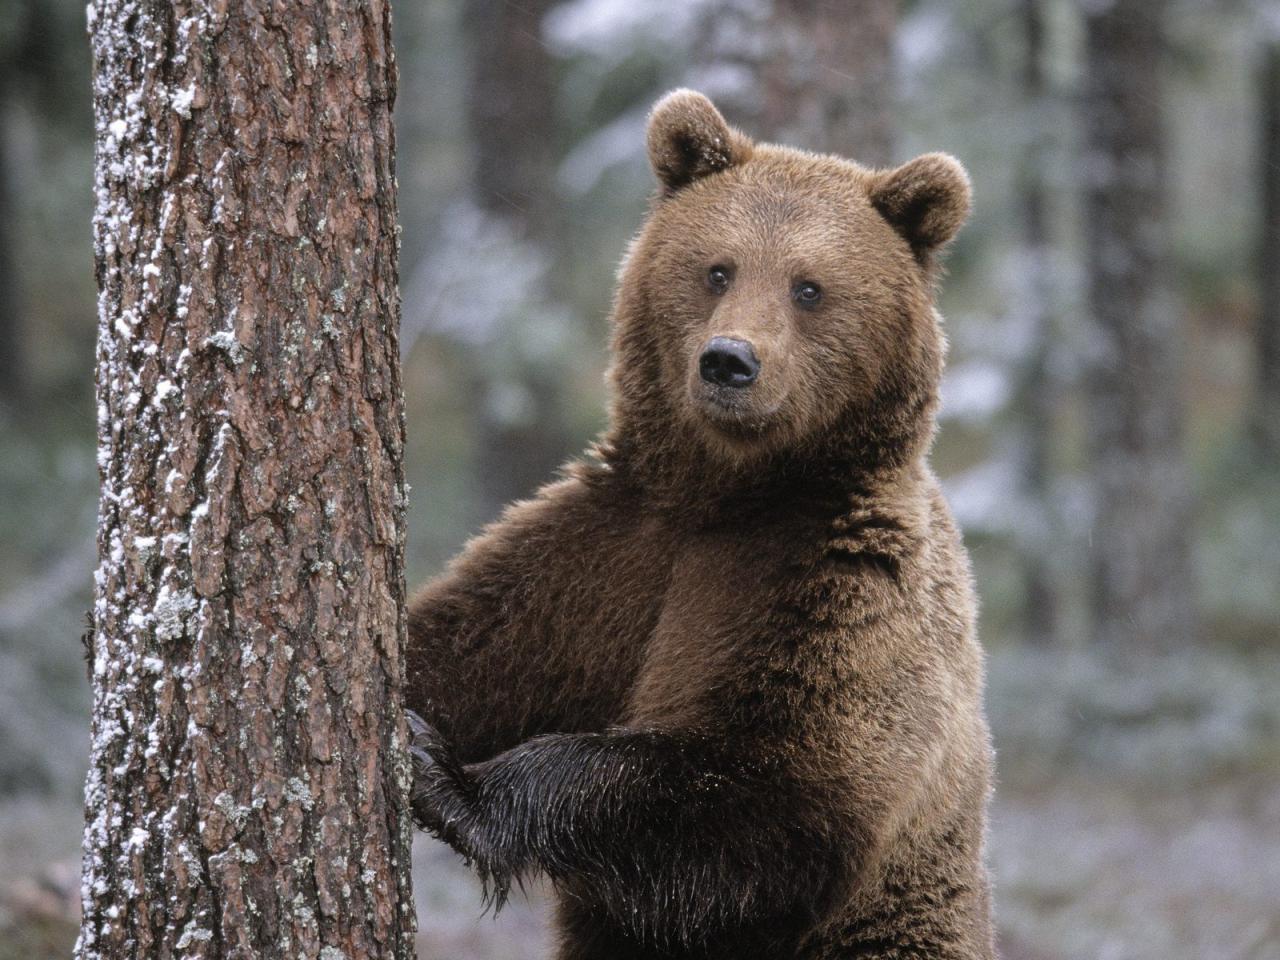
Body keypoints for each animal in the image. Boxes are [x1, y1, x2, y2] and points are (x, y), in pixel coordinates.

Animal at [404, 90, 993, 960]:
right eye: (718, 268)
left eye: (809, 287)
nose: (729, 362)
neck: (730, 493)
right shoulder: (608, 554)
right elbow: (467, 644)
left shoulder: (835, 588)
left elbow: (768, 793)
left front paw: (450, 780)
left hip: (893, 934)